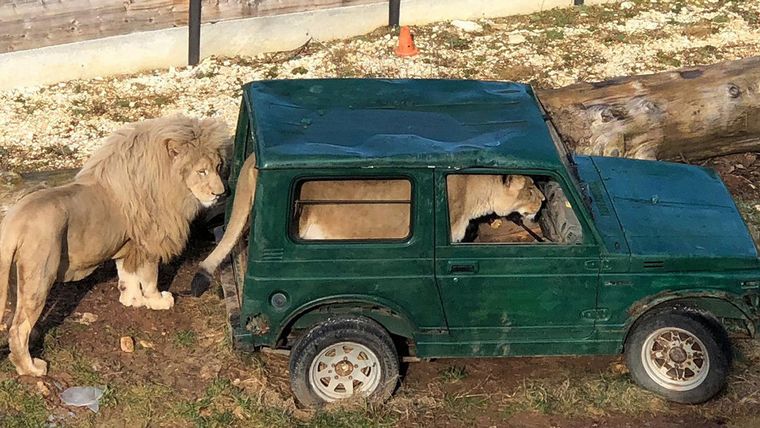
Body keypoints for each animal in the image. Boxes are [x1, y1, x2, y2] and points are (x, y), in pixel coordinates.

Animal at [0, 115, 228, 376]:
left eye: (218, 167)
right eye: (201, 171)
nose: (221, 194)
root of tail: (12, 223)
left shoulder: (129, 245)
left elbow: (127, 275)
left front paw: (132, 300)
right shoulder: (149, 243)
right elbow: (150, 278)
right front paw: (158, 301)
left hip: (16, 278)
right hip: (40, 275)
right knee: (19, 328)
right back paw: (31, 368)